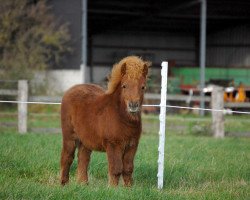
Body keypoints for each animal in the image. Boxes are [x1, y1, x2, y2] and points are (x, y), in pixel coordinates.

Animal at [60, 55, 150, 186]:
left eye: (143, 87)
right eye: (124, 86)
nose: (133, 105)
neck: (122, 118)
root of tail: (70, 90)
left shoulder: (132, 145)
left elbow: (128, 169)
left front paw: (129, 188)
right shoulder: (113, 144)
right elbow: (116, 169)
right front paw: (112, 188)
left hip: (86, 140)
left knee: (83, 158)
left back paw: (83, 184)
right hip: (69, 136)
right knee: (67, 157)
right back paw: (64, 184)